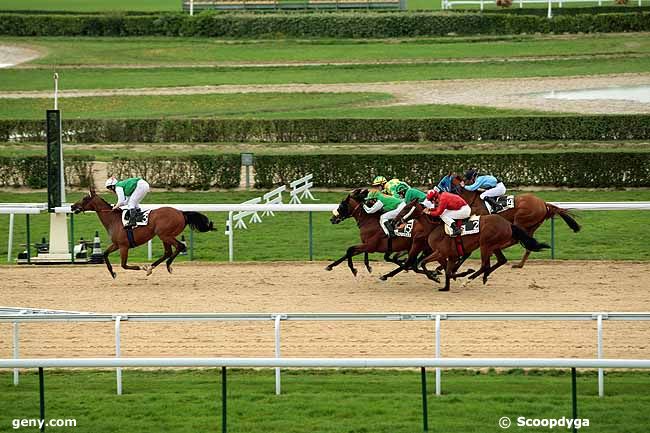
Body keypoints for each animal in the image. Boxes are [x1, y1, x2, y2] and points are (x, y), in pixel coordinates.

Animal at [70, 188, 214, 276]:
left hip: (164, 234)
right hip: (164, 236)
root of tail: (181, 212)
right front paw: (112, 273)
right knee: (168, 251)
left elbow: (124, 265)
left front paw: (141, 267)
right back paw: (151, 267)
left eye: (84, 198)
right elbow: (105, 254)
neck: (113, 219)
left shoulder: (123, 246)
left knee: (180, 246)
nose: (72, 206)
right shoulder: (116, 244)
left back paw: (165, 266)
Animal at [392, 201, 548, 292]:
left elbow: (429, 265)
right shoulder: (447, 254)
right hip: (494, 245)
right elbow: (446, 270)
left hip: (485, 244)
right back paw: (484, 277)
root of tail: (509, 223)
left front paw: (442, 279)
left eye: (406, 207)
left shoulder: (442, 252)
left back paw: (468, 280)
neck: (433, 227)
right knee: (501, 260)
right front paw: (445, 284)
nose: (395, 220)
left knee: (485, 265)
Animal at [438, 174, 580, 268]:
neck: (473, 199)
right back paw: (519, 264)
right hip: (531, 226)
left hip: (521, 221)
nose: (436, 191)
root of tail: (544, 204)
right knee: (528, 245)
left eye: (443, 182)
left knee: (516, 240)